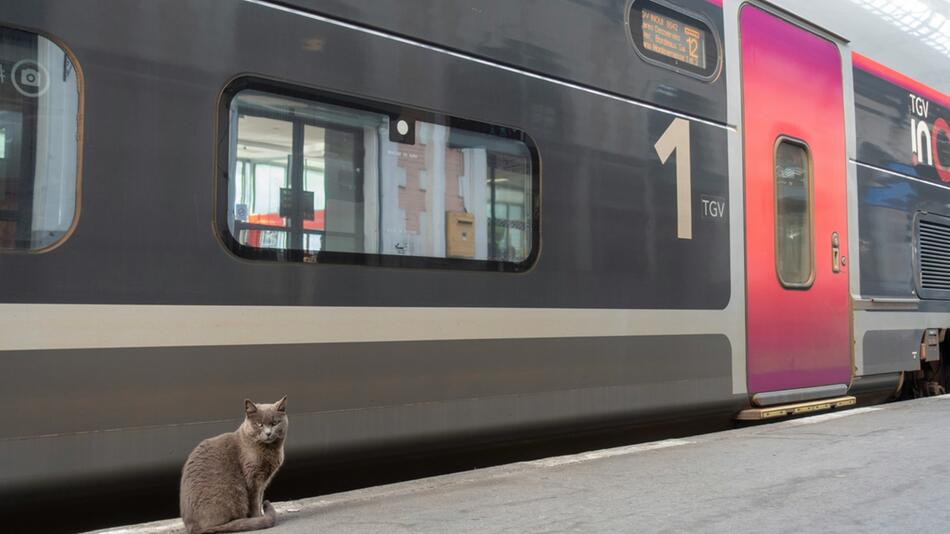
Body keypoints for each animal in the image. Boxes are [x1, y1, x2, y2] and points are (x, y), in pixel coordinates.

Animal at [180, 398, 288, 534]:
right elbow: (255, 502)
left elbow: (259, 498)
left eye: (274, 423)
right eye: (259, 424)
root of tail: (192, 528)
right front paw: (258, 517)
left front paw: (260, 516)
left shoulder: (263, 481)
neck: (269, 450)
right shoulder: (253, 479)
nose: (268, 433)